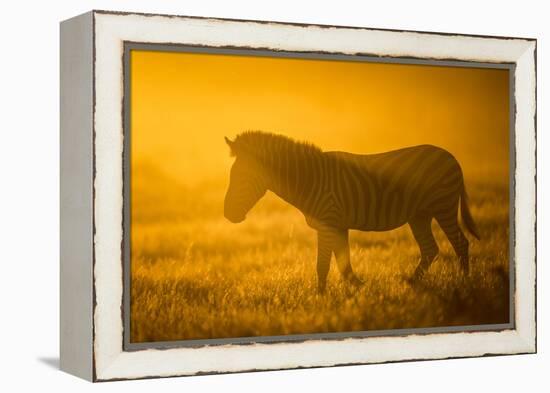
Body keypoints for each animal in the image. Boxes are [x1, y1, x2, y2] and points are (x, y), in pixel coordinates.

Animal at [222, 130, 480, 292]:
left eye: (240, 177)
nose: (227, 215)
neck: (310, 180)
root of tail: (451, 157)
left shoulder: (328, 222)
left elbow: (323, 265)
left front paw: (320, 298)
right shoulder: (337, 225)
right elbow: (343, 265)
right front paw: (358, 290)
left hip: (443, 206)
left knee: (460, 243)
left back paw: (464, 283)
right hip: (420, 215)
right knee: (430, 249)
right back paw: (411, 283)